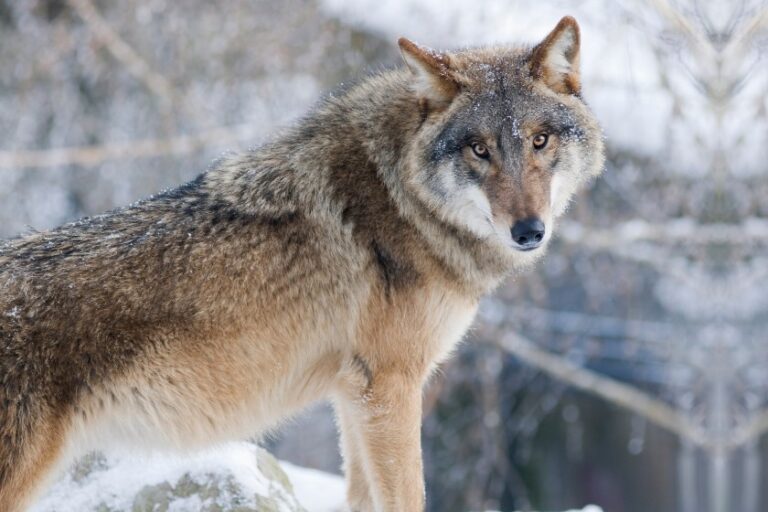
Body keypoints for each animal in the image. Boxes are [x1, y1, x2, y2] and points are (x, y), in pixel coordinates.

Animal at [0, 16, 603, 512]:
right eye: (479, 149)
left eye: (539, 140)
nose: (529, 231)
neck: (401, 196)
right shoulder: (389, 386)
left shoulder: (354, 394)